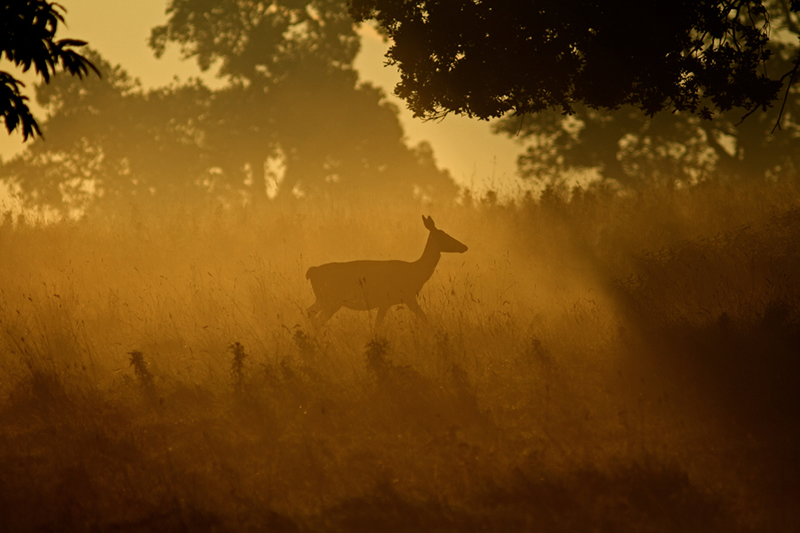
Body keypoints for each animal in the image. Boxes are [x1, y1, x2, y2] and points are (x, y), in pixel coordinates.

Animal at [306, 214, 468, 326]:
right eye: (444, 235)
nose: (464, 246)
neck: (416, 272)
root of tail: (311, 271)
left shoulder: (387, 302)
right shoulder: (404, 296)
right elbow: (425, 318)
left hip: (325, 298)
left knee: (310, 312)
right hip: (332, 299)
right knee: (317, 319)